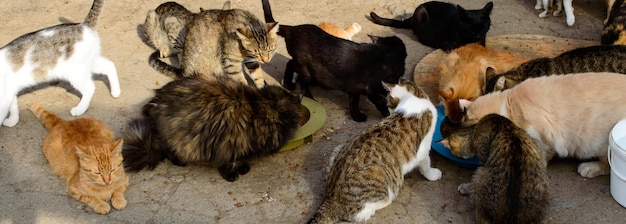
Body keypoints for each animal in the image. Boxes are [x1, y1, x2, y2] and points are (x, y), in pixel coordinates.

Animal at [120, 75, 302, 182]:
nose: (299, 95)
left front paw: (243, 168)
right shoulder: (229, 144)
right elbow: (228, 162)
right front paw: (233, 174)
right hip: (178, 139)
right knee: (170, 152)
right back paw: (180, 162)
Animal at [260, 0, 408, 122]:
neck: (387, 56)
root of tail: (294, 28)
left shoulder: (354, 86)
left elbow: (354, 101)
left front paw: (356, 116)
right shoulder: (372, 88)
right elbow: (381, 102)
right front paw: (387, 114)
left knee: (290, 63)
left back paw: (289, 84)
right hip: (307, 70)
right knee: (302, 81)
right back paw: (307, 95)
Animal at [310, 78, 442, 222]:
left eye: (389, 105)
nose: (388, 113)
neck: (413, 98)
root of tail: (330, 199)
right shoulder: (423, 150)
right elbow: (426, 165)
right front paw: (433, 175)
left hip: (338, 148)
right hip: (378, 172)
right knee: (360, 213)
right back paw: (388, 199)